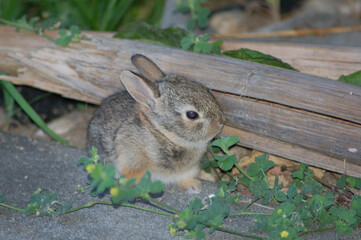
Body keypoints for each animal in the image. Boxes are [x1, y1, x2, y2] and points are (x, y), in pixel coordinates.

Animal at [87, 54, 222, 193]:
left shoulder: (188, 170)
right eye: (192, 114)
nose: (220, 123)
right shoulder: (130, 159)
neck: (163, 133)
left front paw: (194, 186)